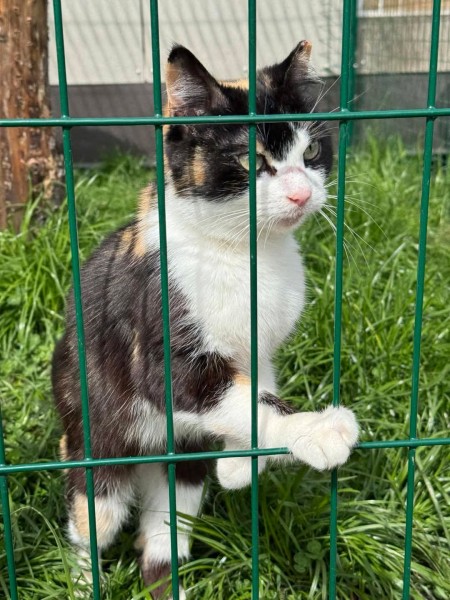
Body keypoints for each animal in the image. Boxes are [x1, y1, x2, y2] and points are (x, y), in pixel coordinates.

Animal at [52, 41, 359, 599]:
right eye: (251, 160)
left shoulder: (258, 348)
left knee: (166, 525)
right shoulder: (160, 339)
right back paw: (84, 579)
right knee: (92, 517)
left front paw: (239, 465)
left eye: (310, 154)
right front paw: (315, 428)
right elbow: (218, 390)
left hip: (181, 462)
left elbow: (252, 387)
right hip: (90, 430)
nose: (302, 194)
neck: (246, 254)